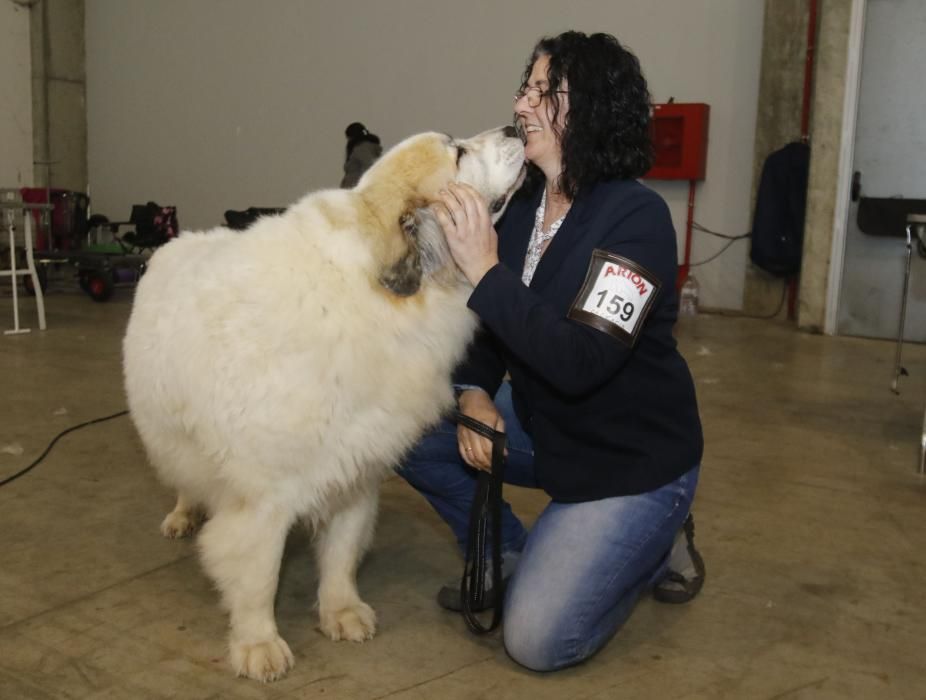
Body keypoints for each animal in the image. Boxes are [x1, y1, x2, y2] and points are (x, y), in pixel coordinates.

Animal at [125, 126, 528, 680]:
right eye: (459, 153)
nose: (515, 128)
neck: (375, 299)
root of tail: (173, 244)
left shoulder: (357, 468)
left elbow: (341, 553)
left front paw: (341, 612)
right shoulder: (263, 494)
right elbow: (258, 575)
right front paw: (258, 644)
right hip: (170, 436)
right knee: (187, 479)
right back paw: (183, 516)